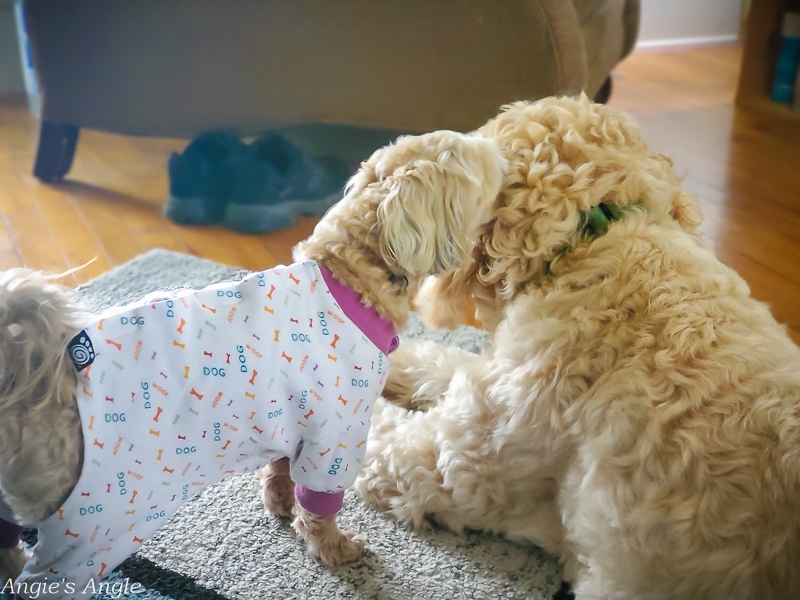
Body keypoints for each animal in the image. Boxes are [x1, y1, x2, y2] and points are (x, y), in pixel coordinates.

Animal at [0, 129, 506, 596]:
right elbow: (319, 506)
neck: (349, 274)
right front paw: (334, 549)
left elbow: (280, 468)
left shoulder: (294, 416)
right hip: (90, 528)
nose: (501, 151)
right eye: (478, 161)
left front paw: (280, 502)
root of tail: (34, 373)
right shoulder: (336, 435)